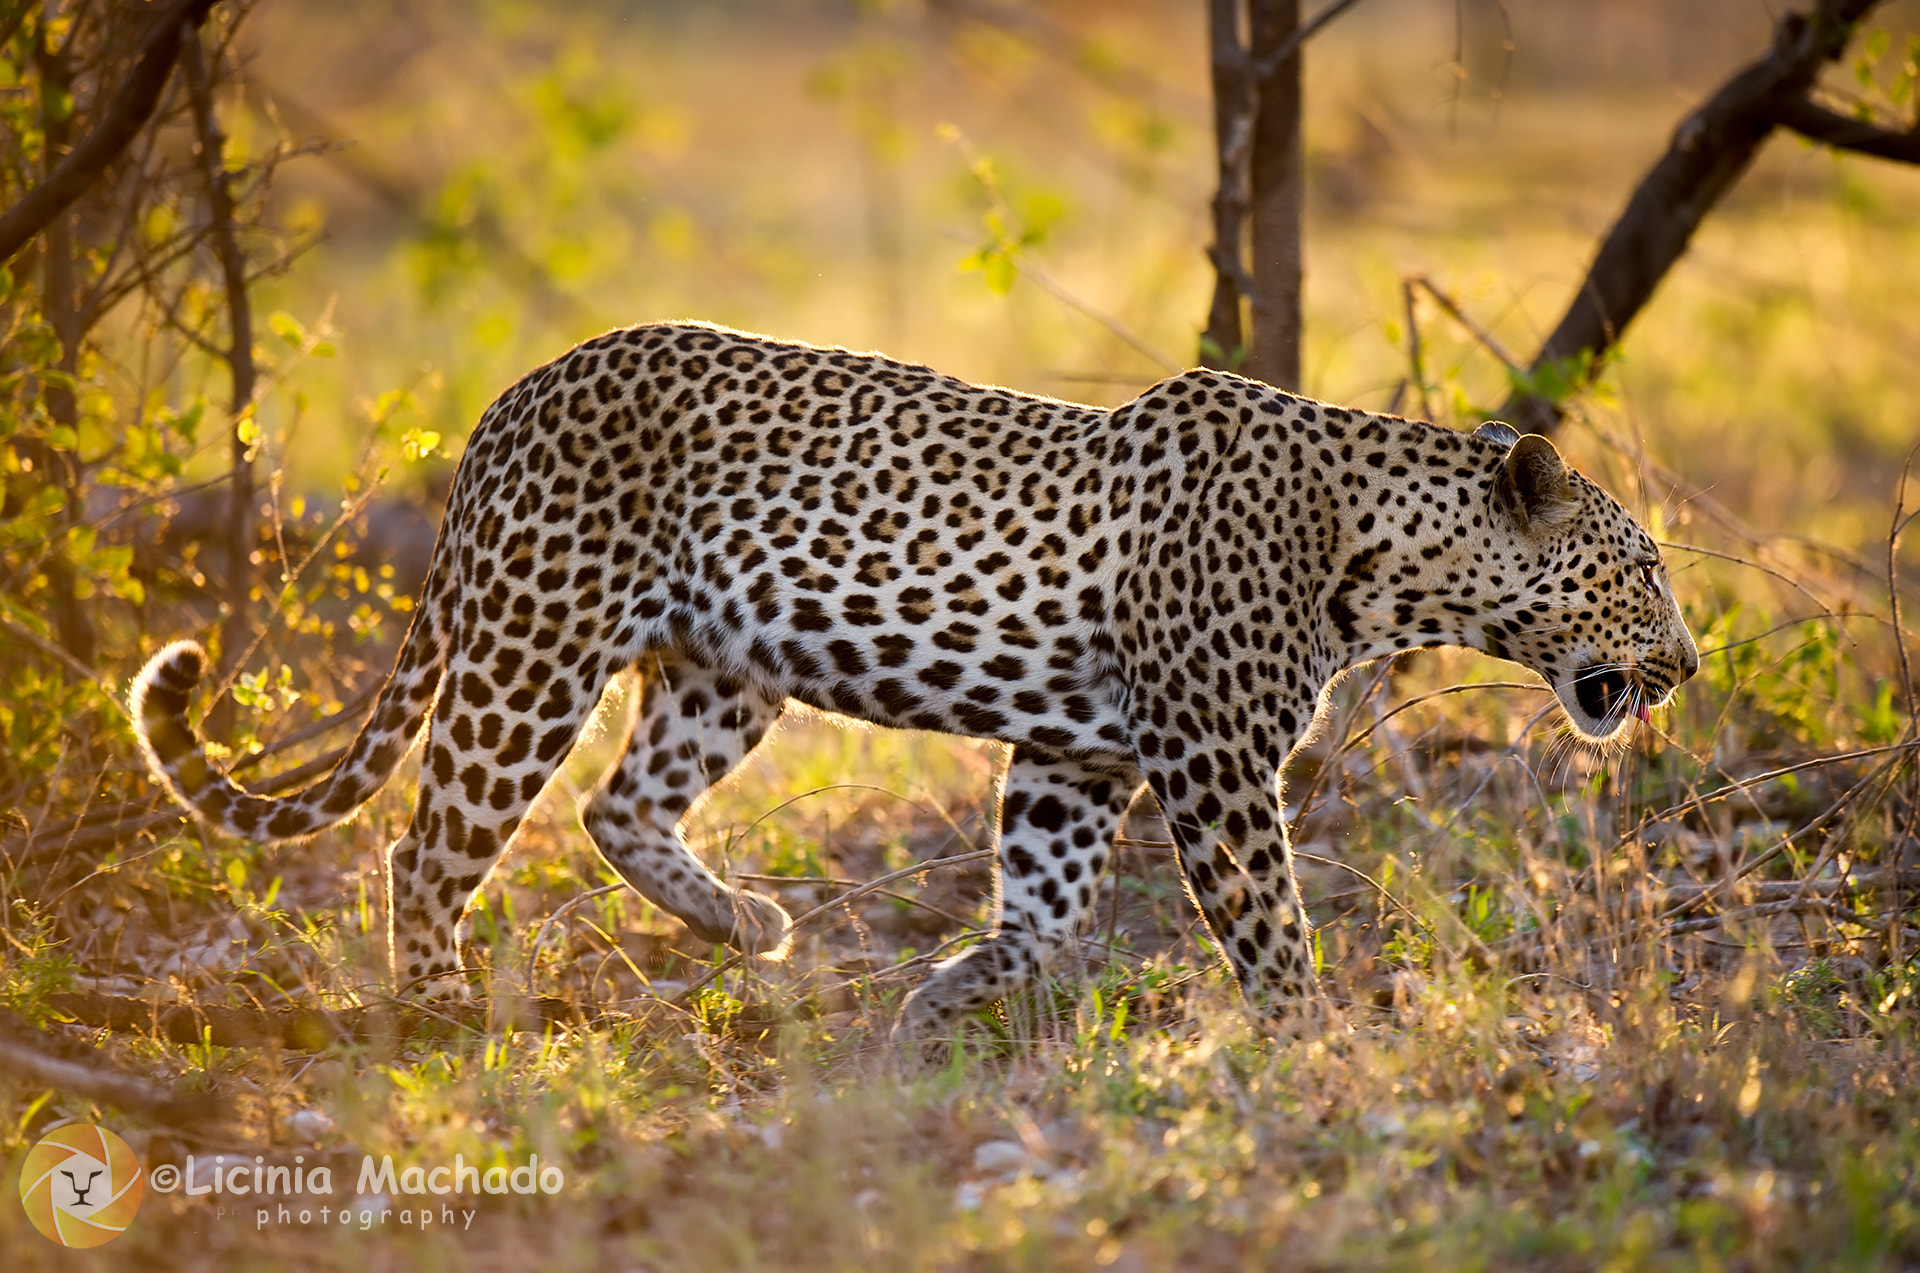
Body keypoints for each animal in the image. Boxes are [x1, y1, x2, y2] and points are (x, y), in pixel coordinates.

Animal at [131, 321, 1698, 1050]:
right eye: (1645, 570)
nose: (1688, 663)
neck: (1385, 558)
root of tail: (503, 407)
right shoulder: (1209, 761)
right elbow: (1268, 926)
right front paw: (1316, 1051)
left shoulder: (1079, 759)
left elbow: (1045, 915)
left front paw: (943, 1002)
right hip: (534, 647)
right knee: (430, 845)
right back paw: (441, 1013)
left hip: (727, 668)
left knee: (620, 807)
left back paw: (748, 924)